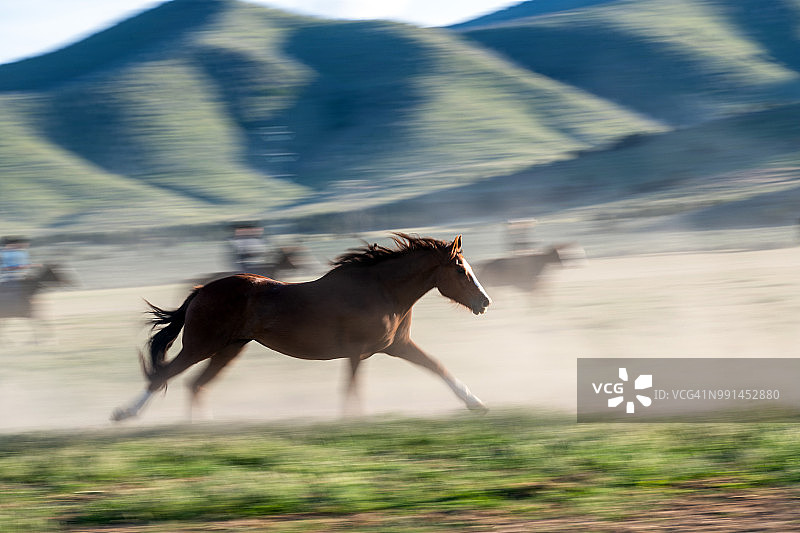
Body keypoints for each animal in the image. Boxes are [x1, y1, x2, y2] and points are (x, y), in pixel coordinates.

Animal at [110, 233, 490, 420]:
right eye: (460, 270)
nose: (484, 301)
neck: (383, 289)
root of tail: (202, 290)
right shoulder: (357, 352)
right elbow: (351, 388)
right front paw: (353, 420)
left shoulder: (398, 346)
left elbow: (437, 367)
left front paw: (476, 404)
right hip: (201, 345)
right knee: (164, 375)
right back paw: (125, 413)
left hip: (228, 350)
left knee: (195, 385)